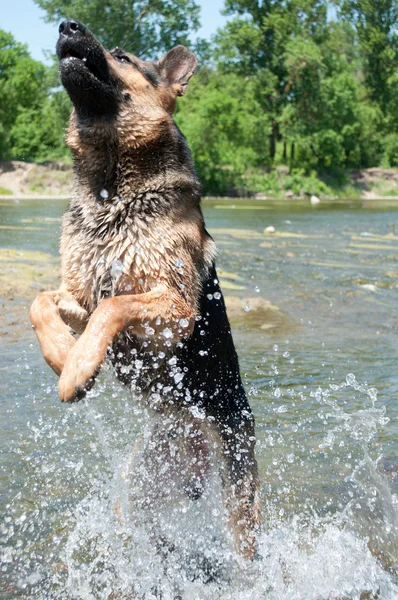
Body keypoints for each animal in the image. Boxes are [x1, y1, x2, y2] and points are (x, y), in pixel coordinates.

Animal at [30, 18, 262, 564]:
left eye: (121, 55)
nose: (67, 25)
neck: (112, 186)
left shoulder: (173, 308)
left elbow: (115, 306)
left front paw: (76, 371)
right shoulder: (80, 294)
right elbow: (39, 301)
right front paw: (62, 355)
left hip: (239, 505)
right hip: (139, 488)